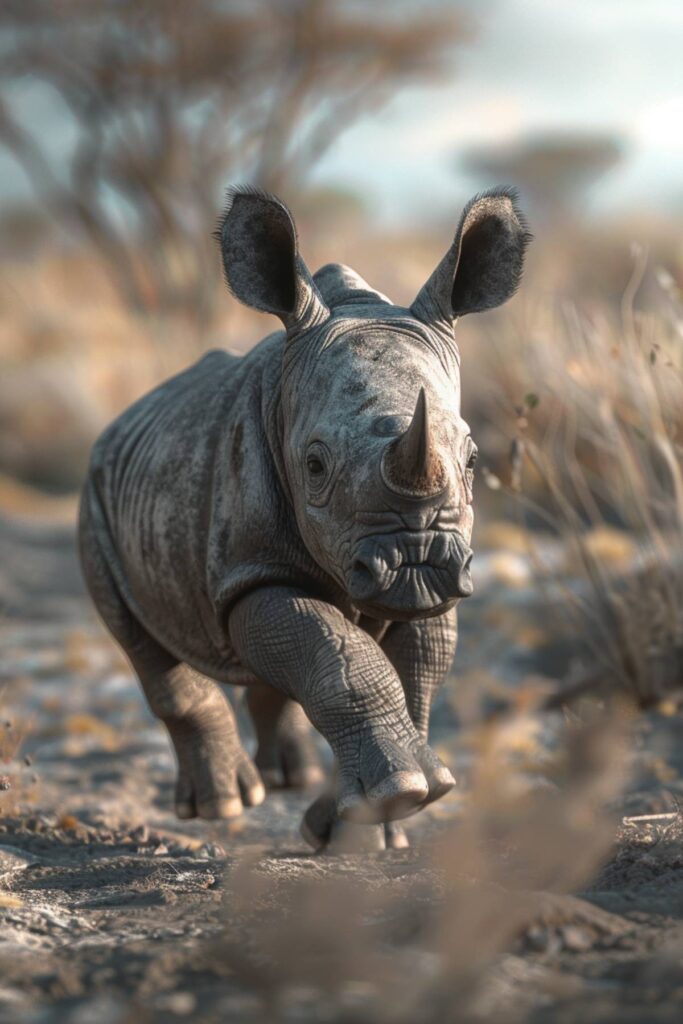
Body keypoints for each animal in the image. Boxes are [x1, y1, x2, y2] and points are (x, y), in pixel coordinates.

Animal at [80, 184, 528, 847]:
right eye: (314, 466)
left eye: (473, 461)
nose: (416, 562)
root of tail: (123, 417)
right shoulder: (252, 567)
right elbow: (338, 655)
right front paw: (397, 795)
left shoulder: (450, 571)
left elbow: (415, 671)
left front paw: (374, 818)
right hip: (97, 500)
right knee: (145, 641)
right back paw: (226, 806)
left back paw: (290, 780)